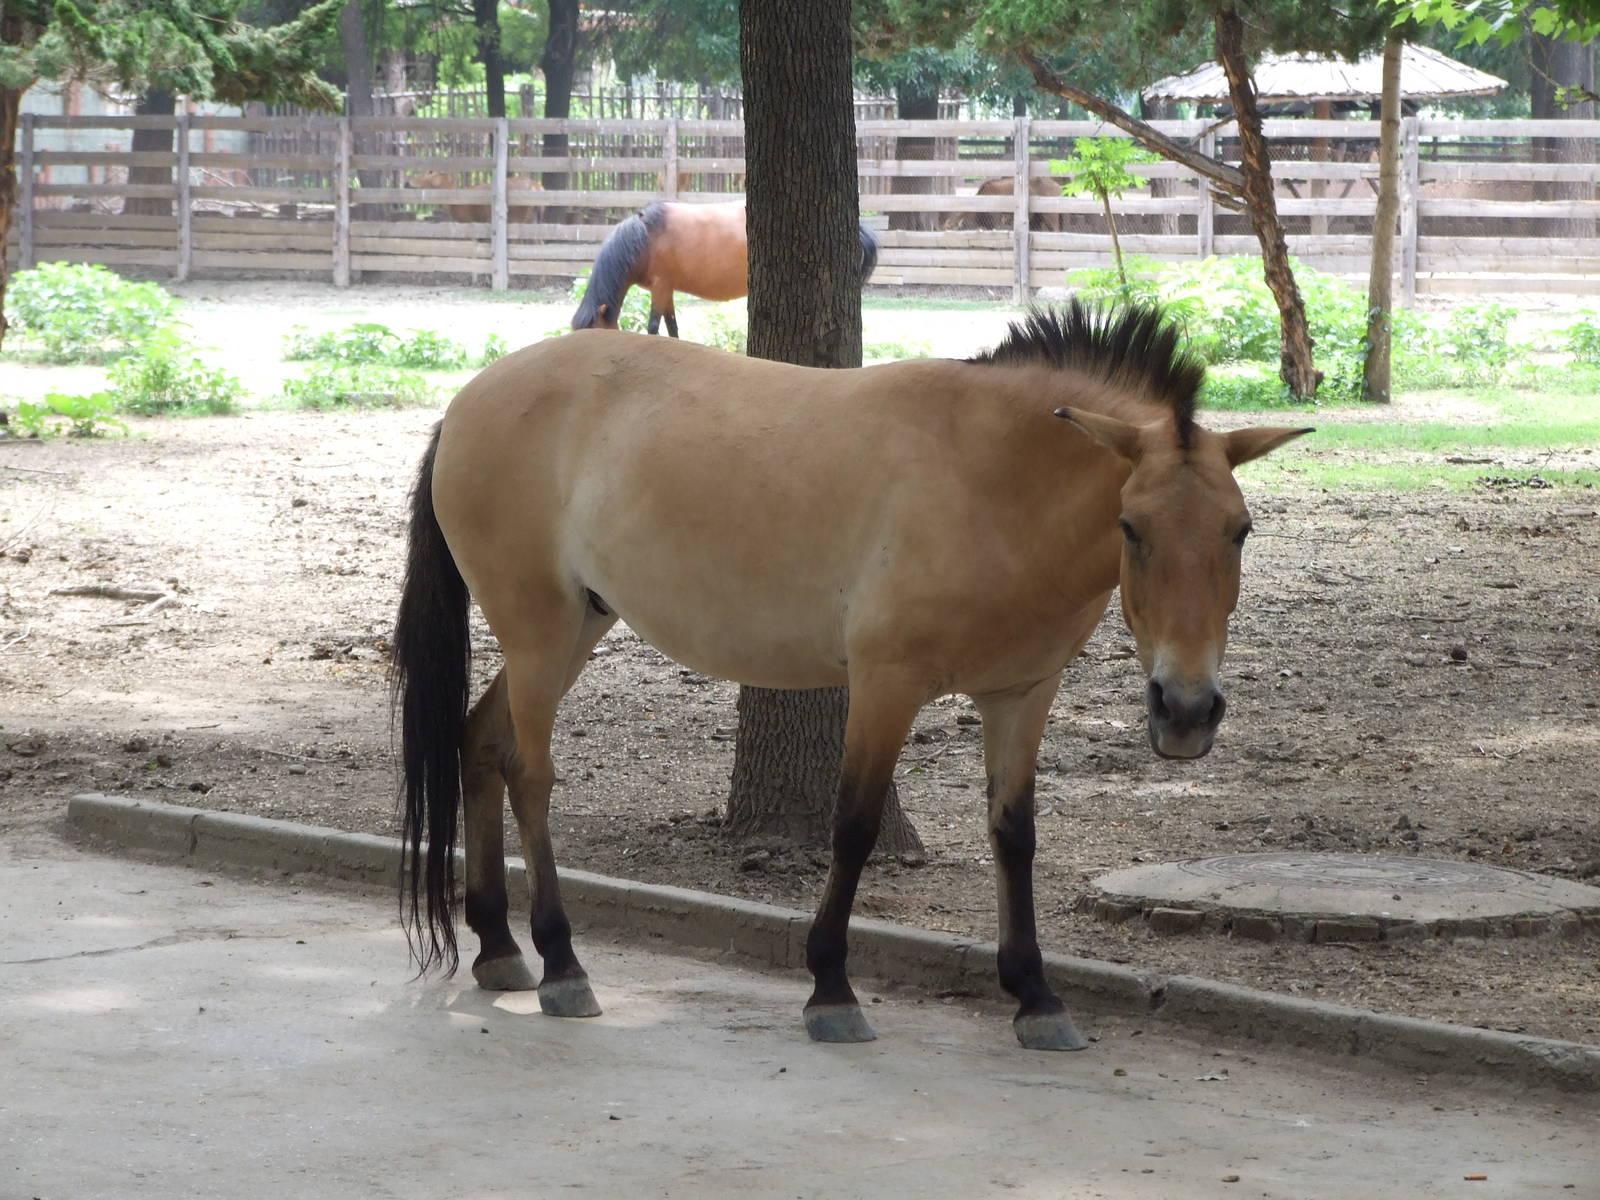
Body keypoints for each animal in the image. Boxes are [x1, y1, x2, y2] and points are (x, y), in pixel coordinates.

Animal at [392, 301, 1311, 1050]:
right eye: (1131, 527)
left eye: (1240, 529)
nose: (1186, 711)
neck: (992, 480)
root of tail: (470, 400)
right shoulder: (884, 684)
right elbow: (856, 825)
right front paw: (831, 987)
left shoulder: (1021, 695)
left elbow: (1013, 835)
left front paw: (1036, 996)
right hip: (540, 634)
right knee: (529, 773)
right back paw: (561, 963)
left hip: (576, 626)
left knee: (480, 744)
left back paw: (499, 947)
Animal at [407, 171, 543, 224]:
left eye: (430, 172)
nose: (408, 182)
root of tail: (536, 186)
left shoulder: (467, 220)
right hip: (532, 219)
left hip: (516, 218)